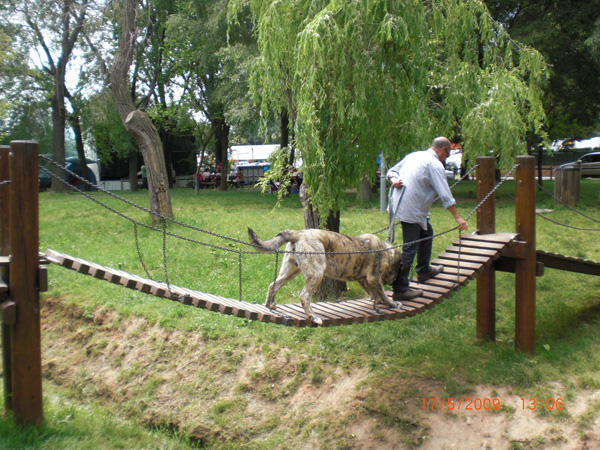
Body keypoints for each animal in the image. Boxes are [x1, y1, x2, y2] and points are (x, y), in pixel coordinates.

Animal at [248, 229, 404, 324]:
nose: (394, 281)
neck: (386, 251)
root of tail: (298, 233)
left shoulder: (364, 280)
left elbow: (374, 293)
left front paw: (380, 302)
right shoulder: (374, 278)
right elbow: (382, 292)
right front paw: (392, 304)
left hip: (290, 271)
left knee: (273, 285)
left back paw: (270, 305)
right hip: (316, 273)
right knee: (304, 296)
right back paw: (313, 316)